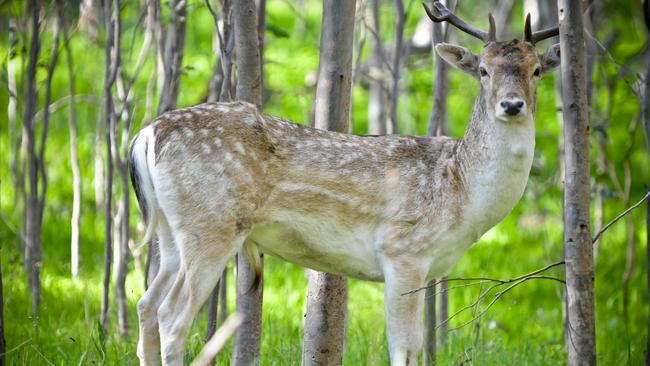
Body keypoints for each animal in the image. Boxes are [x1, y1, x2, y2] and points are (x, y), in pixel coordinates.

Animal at [129, 1, 560, 364]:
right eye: (483, 70)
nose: (512, 104)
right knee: (171, 316)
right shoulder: (403, 251)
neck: (461, 194)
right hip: (211, 224)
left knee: (146, 305)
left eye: (536, 70)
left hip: (170, 231)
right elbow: (404, 351)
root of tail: (147, 134)